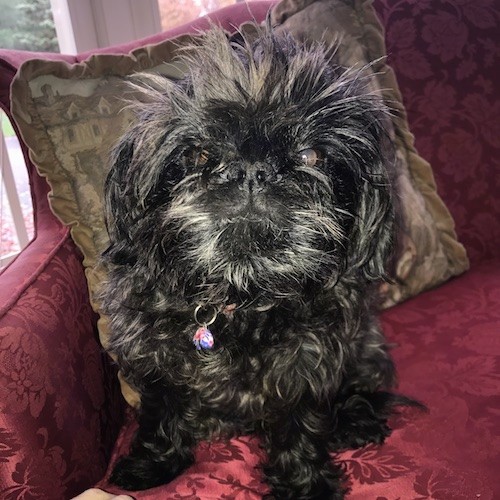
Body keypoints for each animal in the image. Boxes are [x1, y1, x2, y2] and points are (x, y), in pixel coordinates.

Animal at [100, 24, 410, 500]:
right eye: (199, 154)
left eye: (310, 156)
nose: (253, 171)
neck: (240, 296)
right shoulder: (154, 363)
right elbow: (161, 416)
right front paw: (152, 465)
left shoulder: (307, 367)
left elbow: (299, 429)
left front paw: (304, 485)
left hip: (368, 346)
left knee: (364, 387)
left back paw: (355, 421)